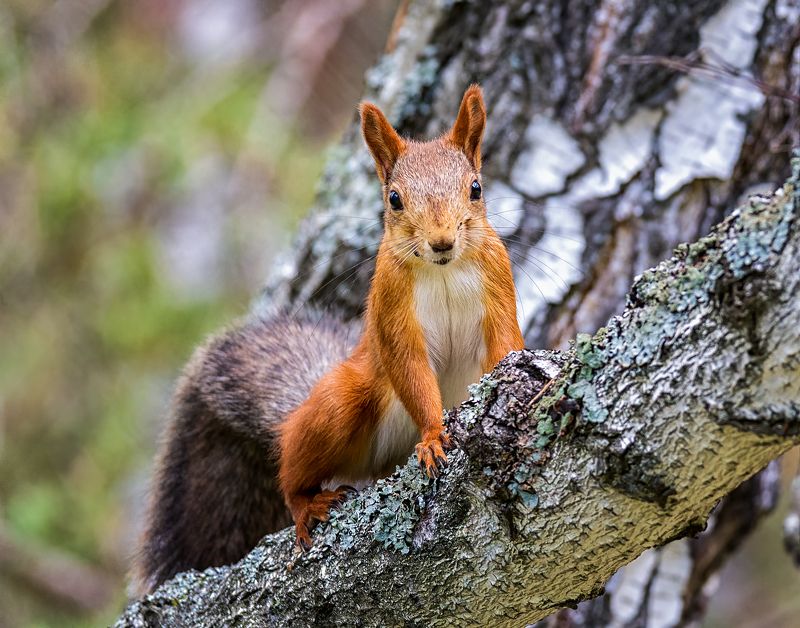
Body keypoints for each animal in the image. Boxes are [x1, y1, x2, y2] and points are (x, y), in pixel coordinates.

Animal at [132, 85, 523, 595]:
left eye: (476, 188)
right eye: (394, 199)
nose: (441, 242)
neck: (445, 271)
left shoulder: (498, 280)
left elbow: (505, 344)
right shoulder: (390, 305)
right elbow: (409, 367)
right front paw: (434, 434)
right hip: (340, 403)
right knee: (292, 469)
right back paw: (306, 502)